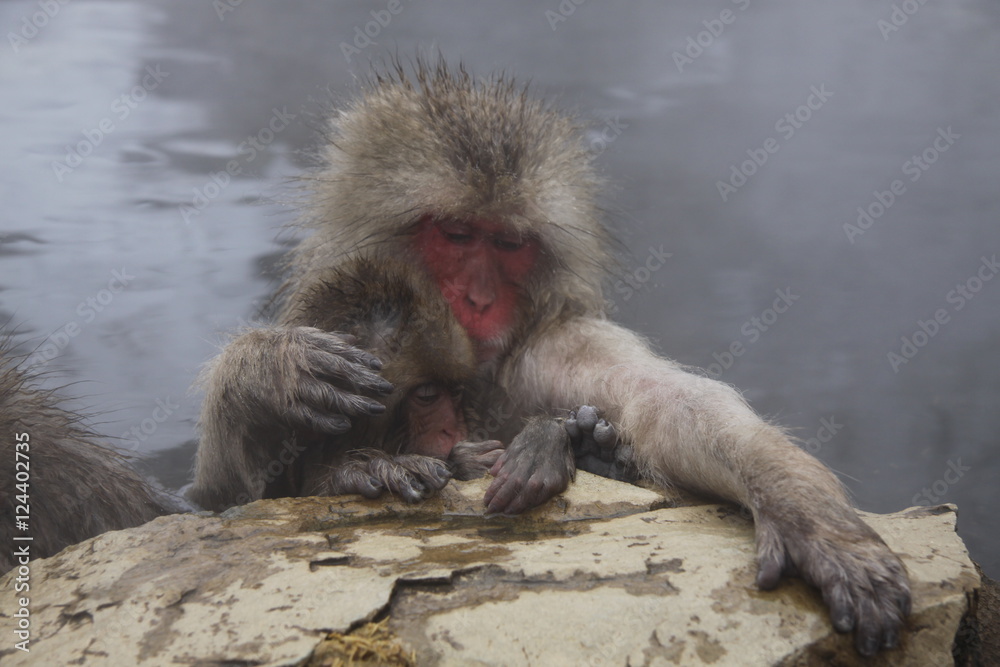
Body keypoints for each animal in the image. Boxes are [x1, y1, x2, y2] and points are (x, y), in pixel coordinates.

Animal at [192, 60, 910, 655]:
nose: (481, 300)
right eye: (457, 235)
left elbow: (670, 403)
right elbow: (217, 501)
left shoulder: (553, 342)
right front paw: (264, 372)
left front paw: (807, 515)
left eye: (509, 245)